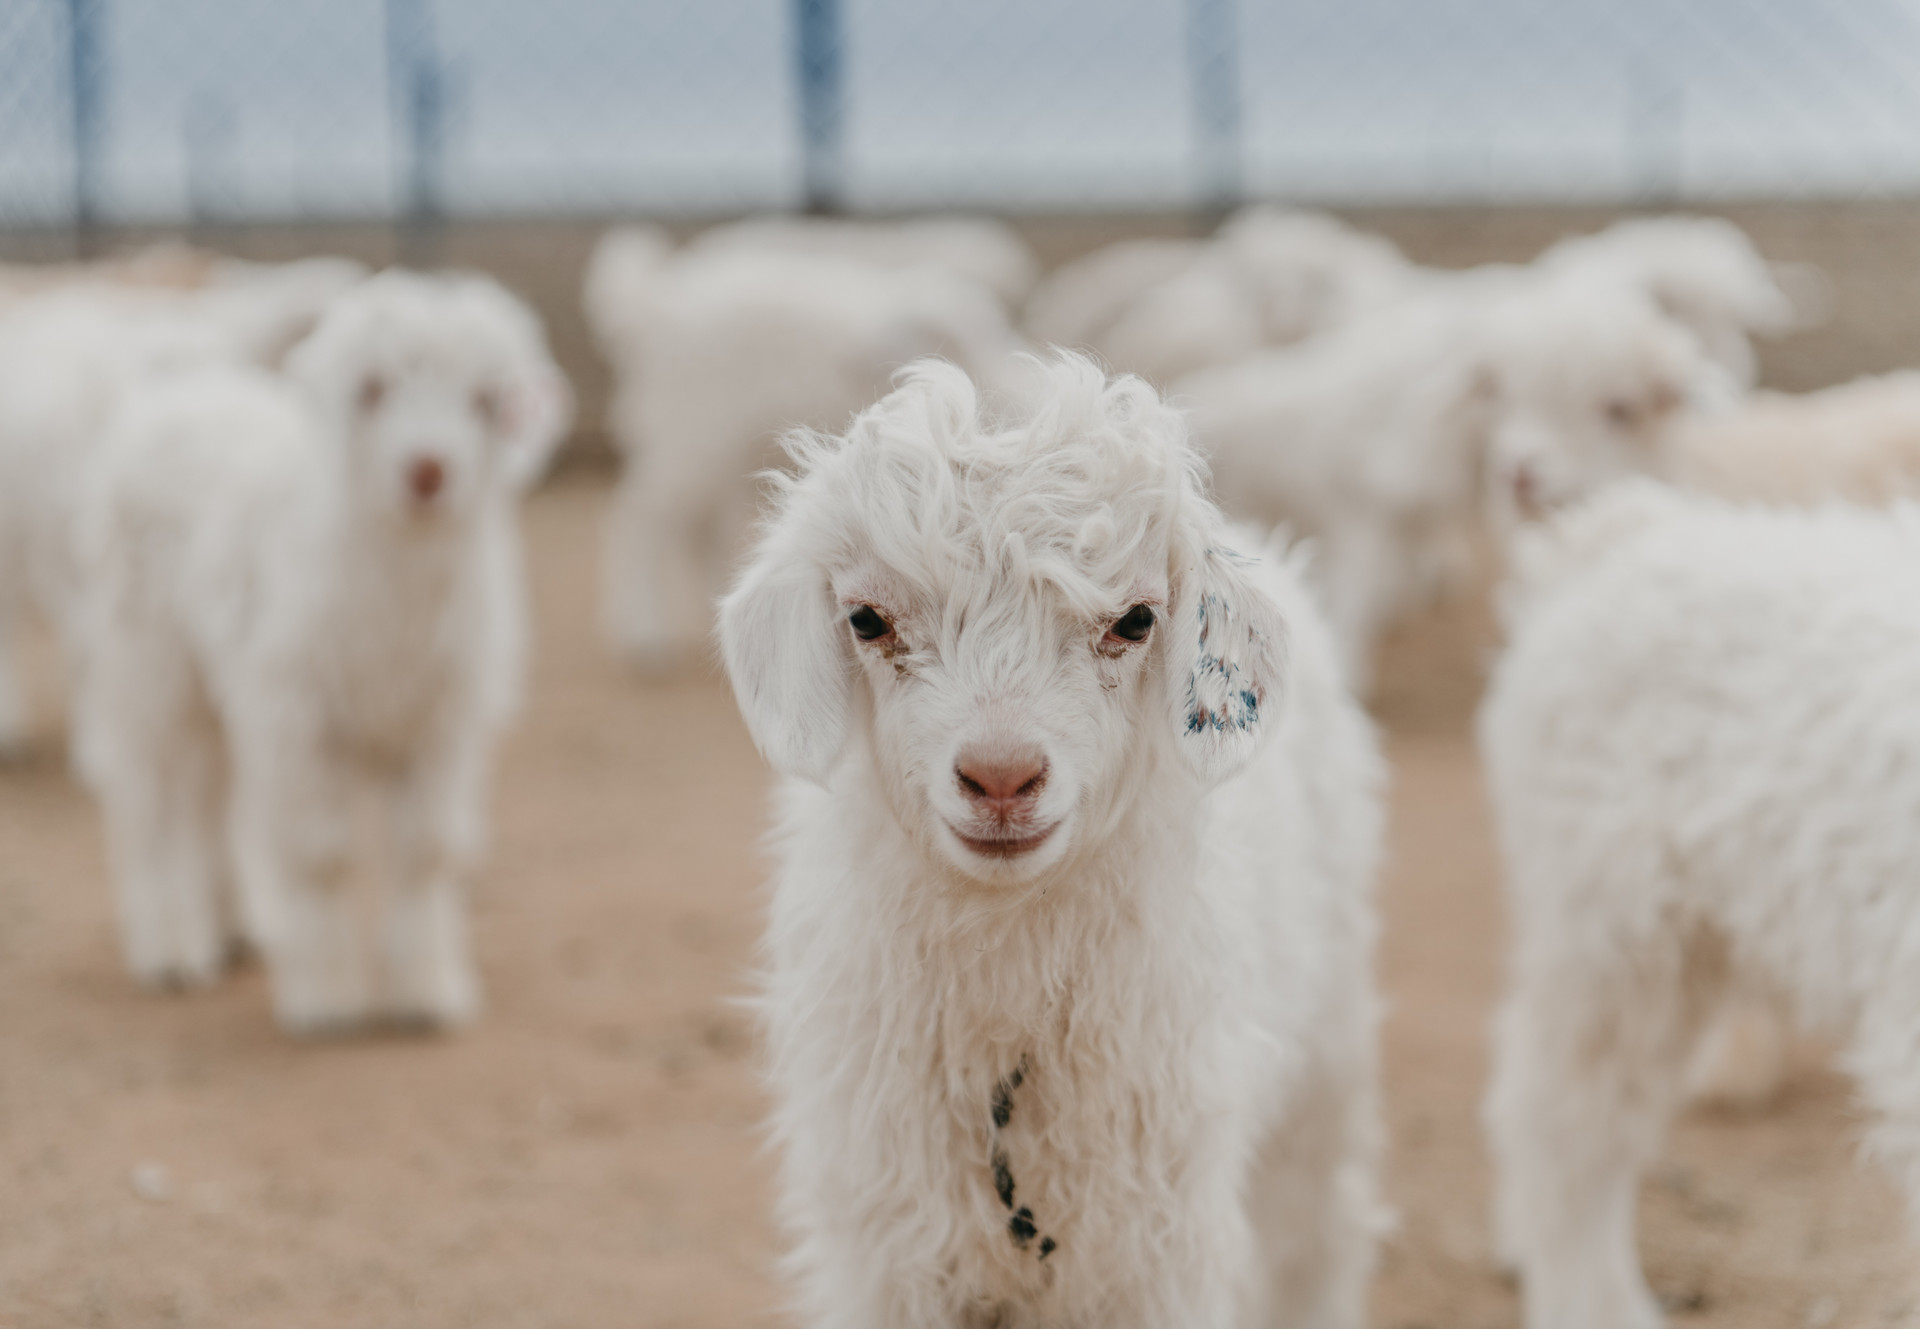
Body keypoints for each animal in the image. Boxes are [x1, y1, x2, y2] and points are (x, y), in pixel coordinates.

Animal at [73, 270, 570, 1031]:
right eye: (373, 389)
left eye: (485, 400)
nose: (428, 470)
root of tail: (190, 381)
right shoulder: (302, 720)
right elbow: (322, 856)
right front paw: (327, 999)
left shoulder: (439, 726)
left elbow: (426, 854)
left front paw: (427, 993)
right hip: (146, 654)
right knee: (149, 794)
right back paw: (172, 952)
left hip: (224, 680)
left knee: (212, 791)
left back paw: (238, 927)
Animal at [584, 228, 1027, 670]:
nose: (849, 358)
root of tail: (662, 307)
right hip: (691, 433)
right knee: (641, 520)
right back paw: (644, 634)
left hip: (718, 449)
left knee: (697, 529)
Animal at [719, 354, 1386, 1329]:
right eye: (867, 618)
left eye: (1137, 619)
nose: (1000, 777)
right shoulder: (888, 1241)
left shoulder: (1153, 1244)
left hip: (1327, 1053)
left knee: (1320, 1230)